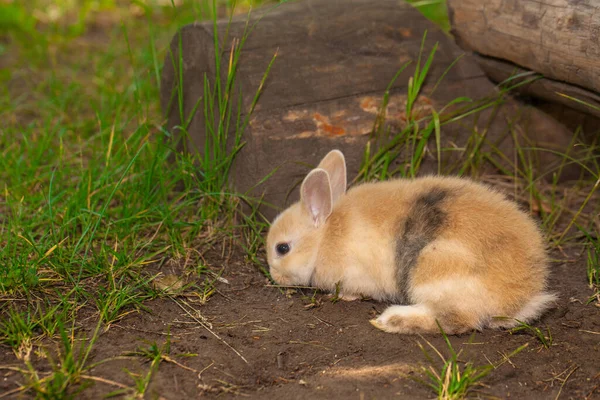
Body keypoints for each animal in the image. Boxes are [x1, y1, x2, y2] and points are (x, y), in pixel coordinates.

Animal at [264, 148, 556, 332]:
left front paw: (348, 297)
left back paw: (389, 321)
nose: (274, 276)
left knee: (454, 321)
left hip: (434, 269)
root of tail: (519, 296)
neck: (324, 237)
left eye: (282, 248)